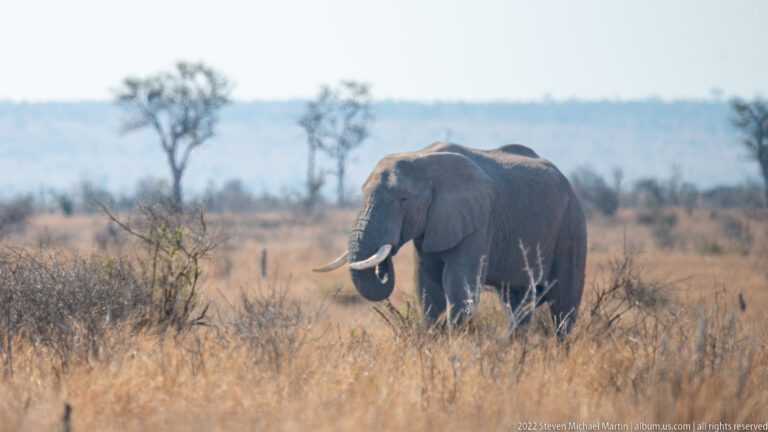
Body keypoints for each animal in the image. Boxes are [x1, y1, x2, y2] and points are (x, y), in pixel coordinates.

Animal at [314, 142, 587, 332]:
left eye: (404, 199)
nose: (384, 263)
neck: (422, 157)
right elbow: (426, 285)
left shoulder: (479, 221)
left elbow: (457, 282)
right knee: (517, 302)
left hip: (571, 224)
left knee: (564, 305)